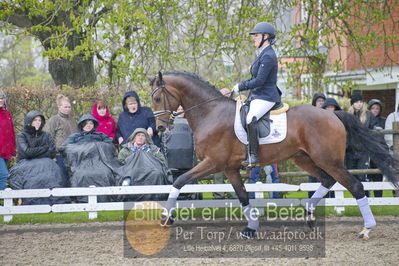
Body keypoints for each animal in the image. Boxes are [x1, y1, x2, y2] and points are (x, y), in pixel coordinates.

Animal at [151, 70, 399, 239]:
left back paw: (366, 229)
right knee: (327, 180)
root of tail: (334, 114)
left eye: (156, 98)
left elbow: (180, 181)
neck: (210, 113)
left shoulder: (214, 163)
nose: (160, 128)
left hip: (329, 160)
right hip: (304, 158)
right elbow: (243, 196)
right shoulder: (230, 168)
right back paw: (309, 216)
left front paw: (166, 217)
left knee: (355, 186)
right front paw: (251, 229)